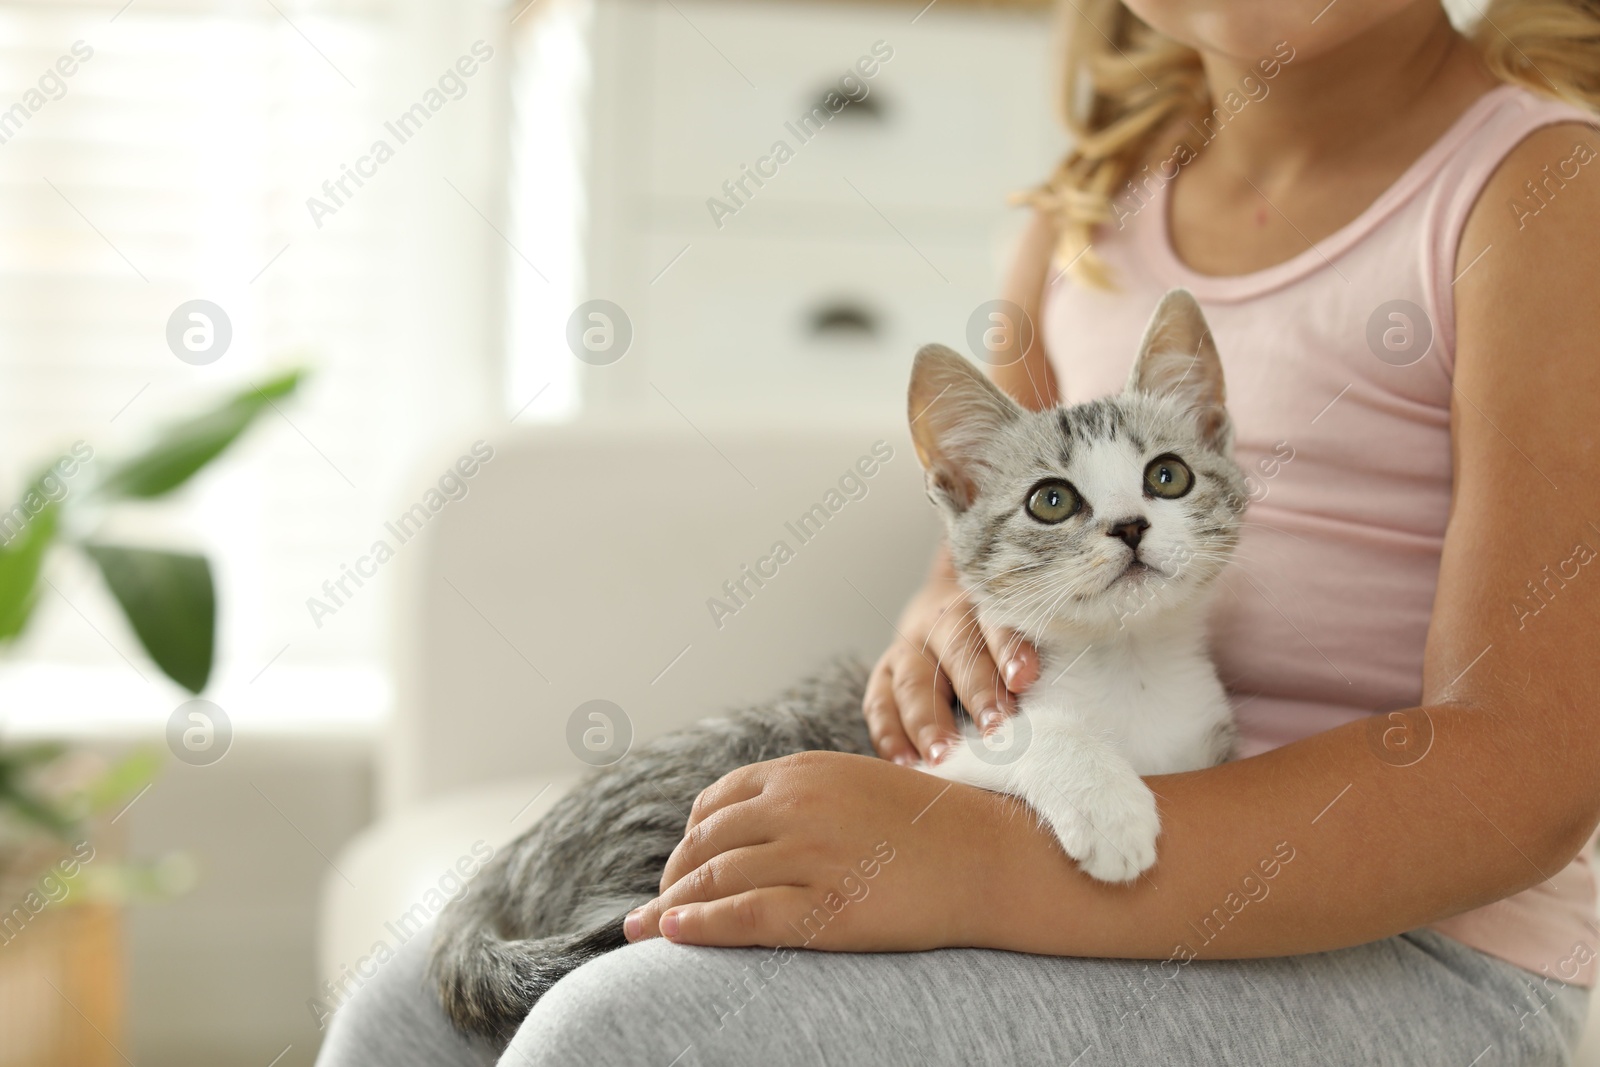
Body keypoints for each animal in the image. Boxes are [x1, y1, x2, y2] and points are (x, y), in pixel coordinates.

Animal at [432, 287, 1241, 1036]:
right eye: (1051, 500)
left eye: (1167, 476)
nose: (1130, 526)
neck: (1129, 670)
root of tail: (507, 861)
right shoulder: (934, 744)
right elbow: (1028, 737)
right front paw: (1111, 810)